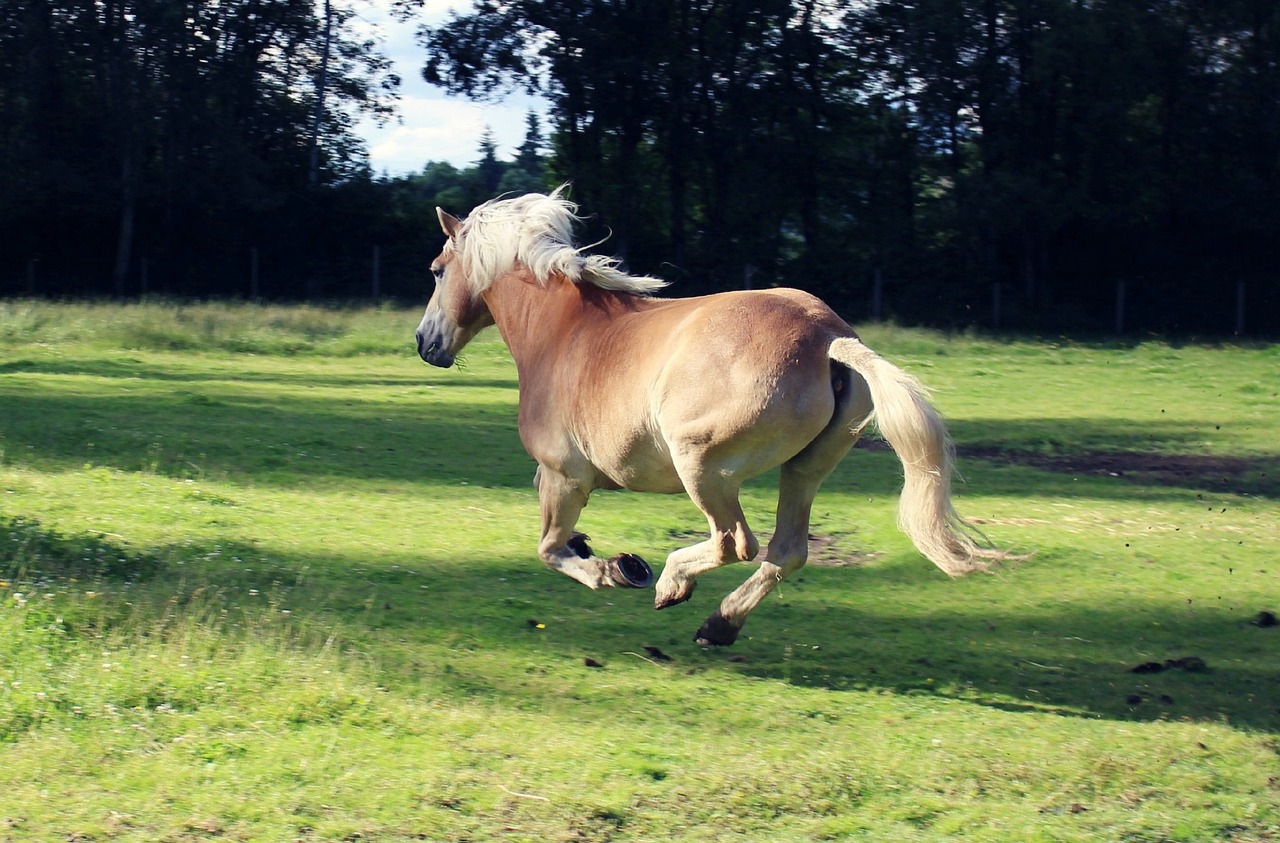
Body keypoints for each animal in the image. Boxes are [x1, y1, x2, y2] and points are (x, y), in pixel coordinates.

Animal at [414, 186, 1003, 647]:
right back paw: (719, 624)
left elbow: (550, 550)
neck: (562, 332)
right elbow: (556, 542)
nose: (425, 342)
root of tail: (827, 337)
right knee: (786, 551)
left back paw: (671, 583)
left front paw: (618, 568)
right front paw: (602, 554)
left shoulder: (564, 477)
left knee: (735, 542)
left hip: (702, 466)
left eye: (437, 271)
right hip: (804, 470)